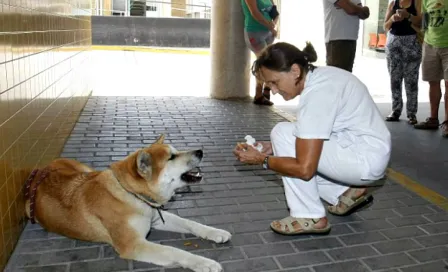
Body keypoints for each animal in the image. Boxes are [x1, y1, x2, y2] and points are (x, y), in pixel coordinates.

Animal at [25, 135, 231, 270]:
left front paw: (215, 232)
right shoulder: (134, 244)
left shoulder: (156, 217)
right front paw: (204, 262)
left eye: (175, 151)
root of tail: (43, 169)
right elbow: (174, 251)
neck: (131, 194)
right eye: (172, 157)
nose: (200, 151)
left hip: (86, 170)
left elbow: (191, 223)